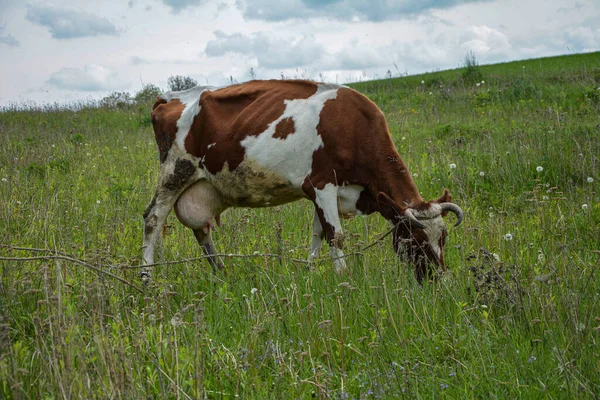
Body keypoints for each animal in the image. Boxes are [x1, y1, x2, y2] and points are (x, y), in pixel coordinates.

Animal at [141, 79, 464, 282]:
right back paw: (146, 278)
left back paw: (221, 273)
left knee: (201, 229)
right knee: (153, 219)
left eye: (443, 238)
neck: (352, 126)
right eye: (416, 240)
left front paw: (311, 274)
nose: (440, 279)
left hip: (201, 184)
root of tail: (167, 98)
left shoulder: (323, 193)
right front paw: (343, 277)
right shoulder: (321, 184)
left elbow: (317, 234)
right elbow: (336, 235)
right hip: (175, 172)